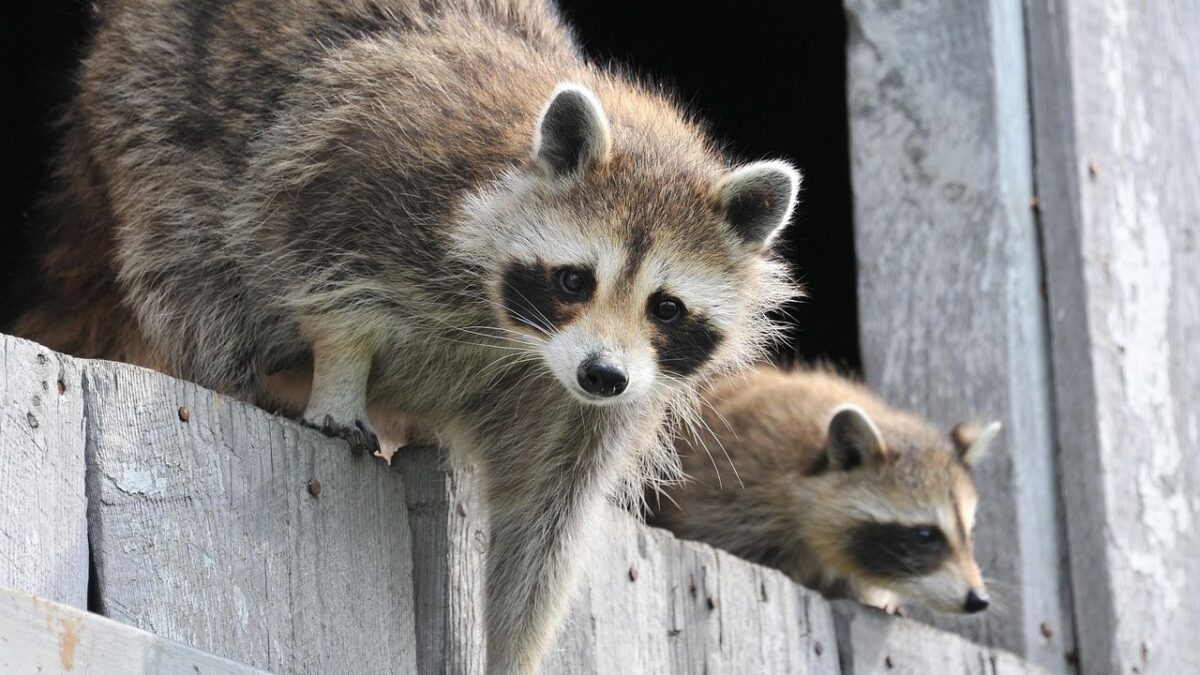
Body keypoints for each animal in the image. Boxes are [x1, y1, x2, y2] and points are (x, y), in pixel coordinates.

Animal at [15, 1, 801, 671]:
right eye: (575, 280)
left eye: (665, 308)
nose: (602, 374)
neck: (515, 336)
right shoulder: (371, 169)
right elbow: (323, 273)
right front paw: (339, 372)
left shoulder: (586, 405)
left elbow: (543, 526)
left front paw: (513, 648)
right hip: (150, 104)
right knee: (189, 260)